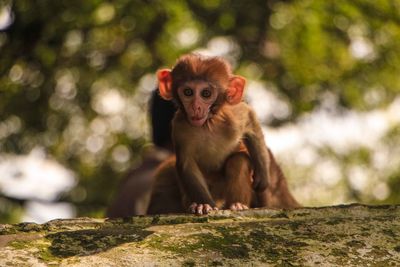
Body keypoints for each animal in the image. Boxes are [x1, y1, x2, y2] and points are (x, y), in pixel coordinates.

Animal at [148, 54, 298, 216]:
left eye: (206, 93)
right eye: (188, 92)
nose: (196, 107)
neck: (208, 124)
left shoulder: (233, 115)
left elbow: (250, 119)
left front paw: (263, 175)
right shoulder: (180, 127)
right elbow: (186, 164)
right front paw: (203, 204)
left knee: (238, 160)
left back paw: (237, 204)